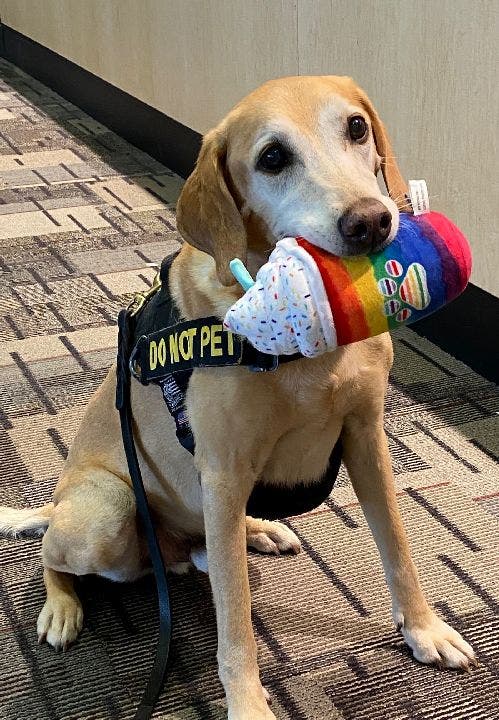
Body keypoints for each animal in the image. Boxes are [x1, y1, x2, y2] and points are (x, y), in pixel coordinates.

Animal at [0, 76, 476, 716]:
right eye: (272, 158)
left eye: (356, 127)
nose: (372, 222)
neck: (308, 348)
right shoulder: (223, 471)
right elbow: (236, 618)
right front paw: (248, 703)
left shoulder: (366, 437)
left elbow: (397, 547)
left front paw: (424, 630)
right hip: (106, 509)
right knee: (55, 555)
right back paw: (62, 604)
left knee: (200, 551)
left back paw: (255, 531)